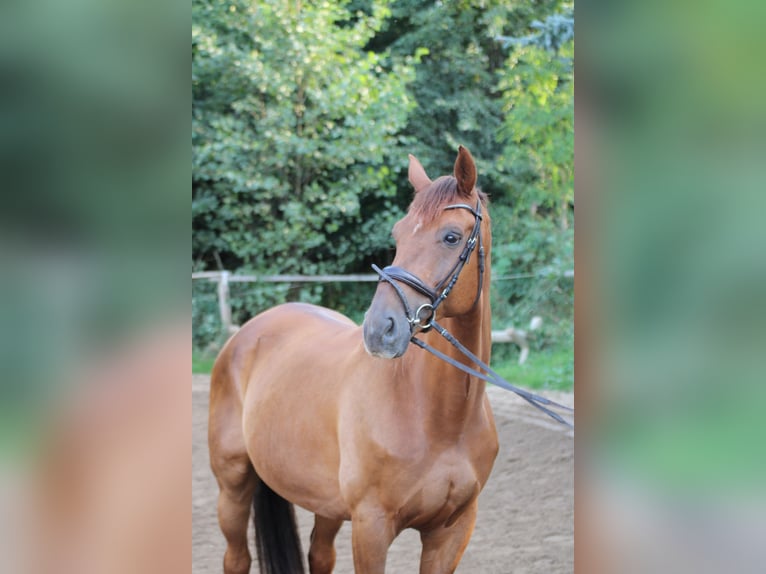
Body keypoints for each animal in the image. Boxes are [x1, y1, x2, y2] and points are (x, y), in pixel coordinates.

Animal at [208, 146, 498, 572]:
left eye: (451, 236)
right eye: (397, 234)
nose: (380, 329)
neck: (439, 418)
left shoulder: (452, 532)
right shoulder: (371, 527)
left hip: (326, 502)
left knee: (319, 555)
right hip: (232, 487)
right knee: (237, 558)